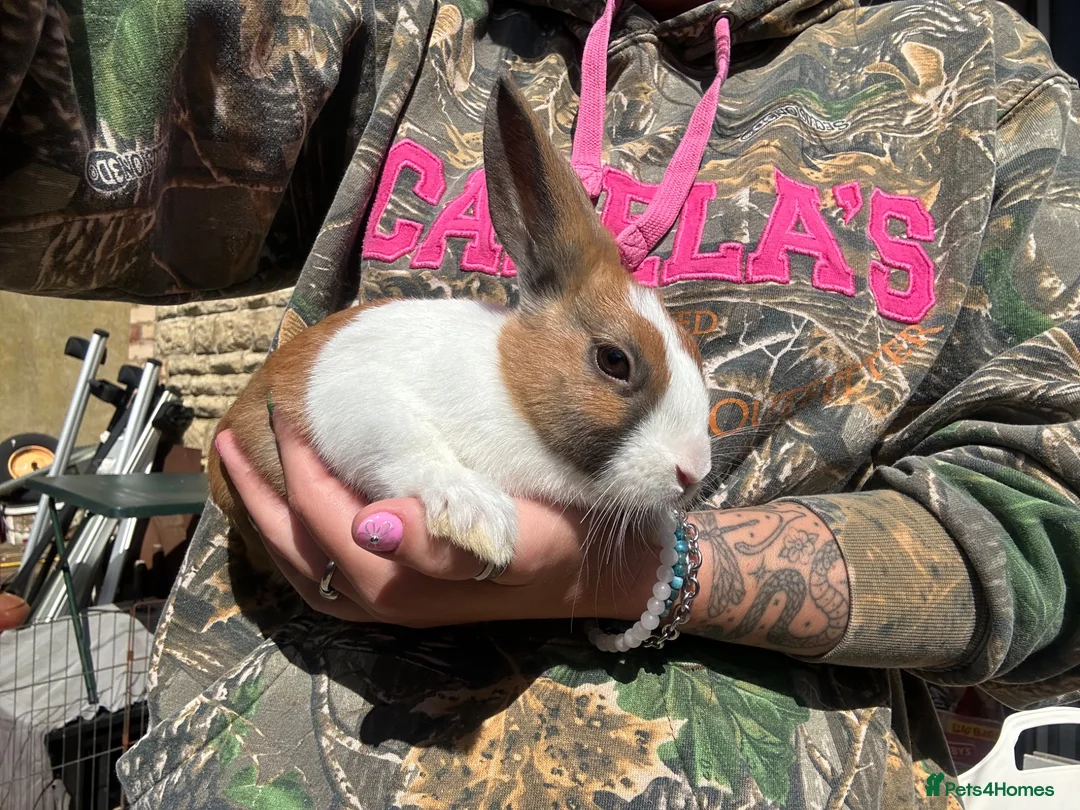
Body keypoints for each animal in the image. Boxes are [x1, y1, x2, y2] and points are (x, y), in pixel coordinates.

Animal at [207, 77, 713, 577]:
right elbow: (409, 447)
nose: (693, 473)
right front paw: (481, 519)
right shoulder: (354, 400)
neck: (511, 388)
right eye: (614, 360)